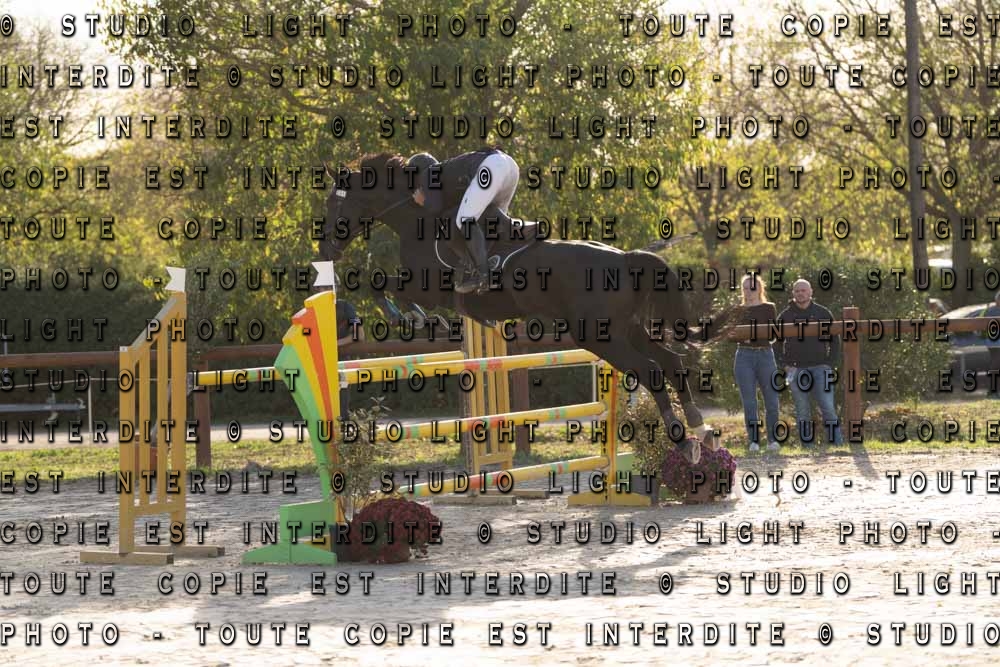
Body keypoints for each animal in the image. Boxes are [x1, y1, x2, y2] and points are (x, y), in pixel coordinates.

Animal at [321, 155, 712, 464]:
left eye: (335, 206)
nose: (327, 249)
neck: (416, 218)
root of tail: (626, 259)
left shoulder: (425, 286)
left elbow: (378, 284)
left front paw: (408, 317)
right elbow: (380, 285)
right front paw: (413, 318)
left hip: (600, 336)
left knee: (650, 370)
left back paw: (685, 442)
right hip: (626, 329)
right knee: (671, 362)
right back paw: (701, 427)